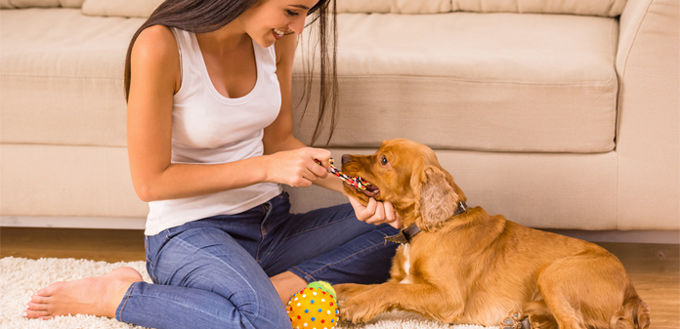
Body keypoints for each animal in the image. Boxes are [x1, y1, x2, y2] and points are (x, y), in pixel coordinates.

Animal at [332, 138, 652, 328]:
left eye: (384, 160)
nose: (343, 155)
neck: (426, 228)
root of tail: (632, 292)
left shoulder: (448, 297)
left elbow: (387, 290)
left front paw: (354, 307)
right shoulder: (404, 280)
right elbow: (361, 286)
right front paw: (339, 292)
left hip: (553, 274)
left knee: (573, 325)